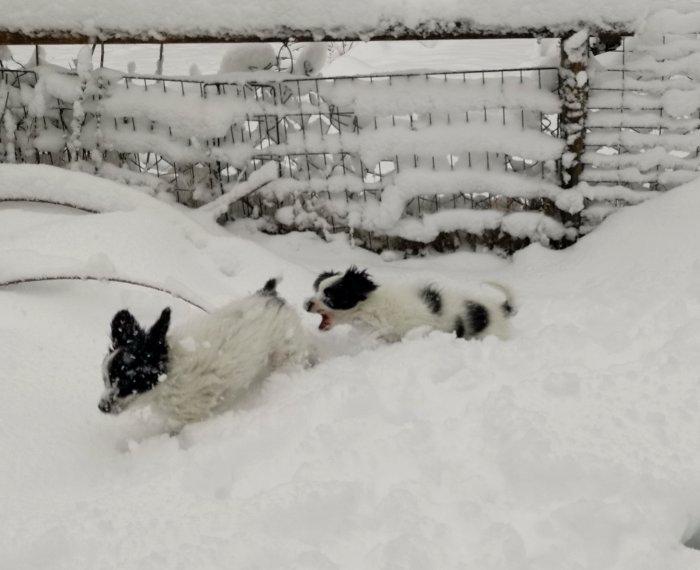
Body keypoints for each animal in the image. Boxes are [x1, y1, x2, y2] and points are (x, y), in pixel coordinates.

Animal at [97, 278, 310, 424]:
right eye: (106, 379)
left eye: (126, 380)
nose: (101, 407)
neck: (171, 372)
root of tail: (269, 294)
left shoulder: (191, 412)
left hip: (285, 351)